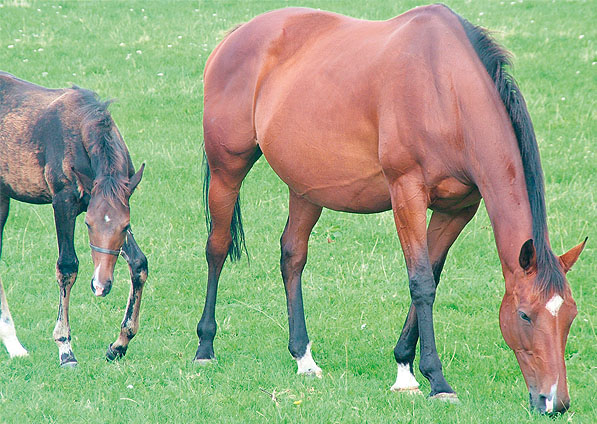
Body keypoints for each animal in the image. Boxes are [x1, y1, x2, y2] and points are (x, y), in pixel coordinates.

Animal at [0, 71, 148, 366]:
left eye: (125, 225)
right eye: (88, 224)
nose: (101, 286)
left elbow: (139, 263)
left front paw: (119, 344)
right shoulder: (63, 202)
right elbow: (67, 266)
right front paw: (65, 348)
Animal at [198, 3, 584, 414]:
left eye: (570, 316)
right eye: (525, 315)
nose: (555, 401)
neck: (445, 91)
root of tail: (237, 35)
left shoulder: (457, 209)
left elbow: (432, 274)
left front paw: (405, 367)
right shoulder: (406, 193)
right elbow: (421, 282)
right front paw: (435, 380)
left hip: (306, 188)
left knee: (292, 256)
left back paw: (304, 357)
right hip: (227, 169)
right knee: (217, 247)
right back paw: (205, 346)